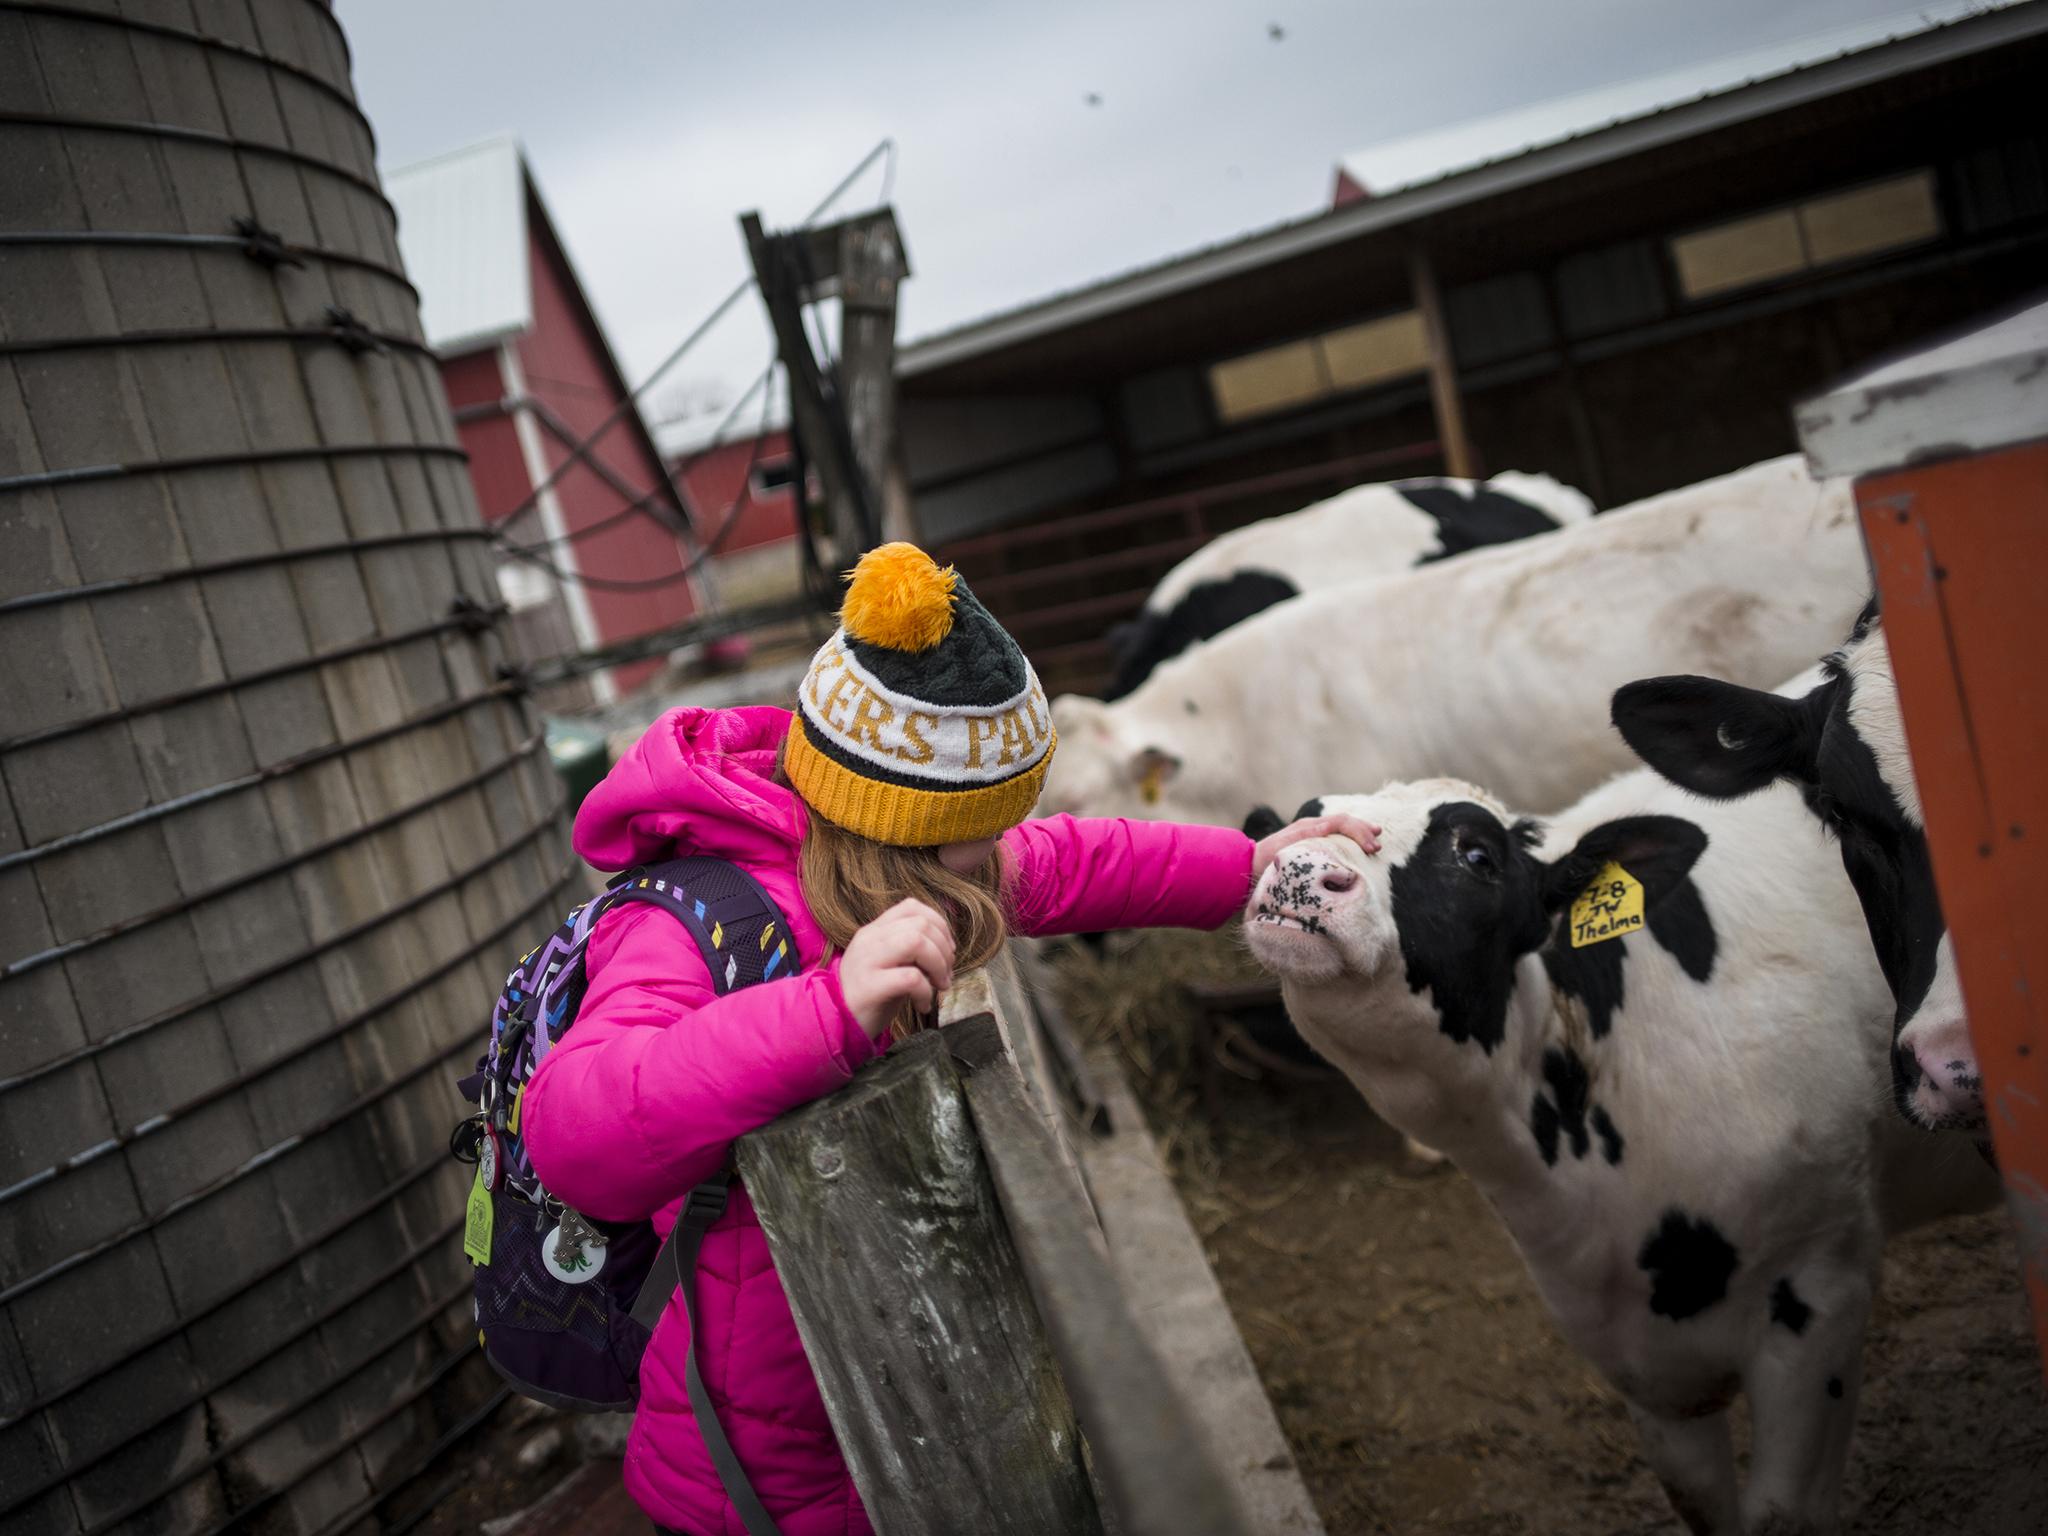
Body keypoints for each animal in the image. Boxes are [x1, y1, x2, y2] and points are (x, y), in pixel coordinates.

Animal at [1236, 770, 1990, 1536]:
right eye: (1303, 820)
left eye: (1477, 855)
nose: (1301, 870)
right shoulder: (1635, 1356)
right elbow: (1701, 1500)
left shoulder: (1819, 1293)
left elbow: (1780, 1514)